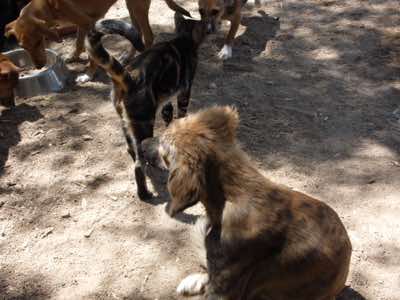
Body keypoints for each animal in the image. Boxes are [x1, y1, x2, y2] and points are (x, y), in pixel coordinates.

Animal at [3, 0, 191, 69]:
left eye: (38, 43)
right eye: (23, 47)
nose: (39, 67)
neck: (49, 5)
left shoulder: (87, 23)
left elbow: (90, 53)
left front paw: (89, 73)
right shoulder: (82, 24)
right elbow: (78, 43)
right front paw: (74, 57)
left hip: (137, 7)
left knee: (149, 36)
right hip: (131, 6)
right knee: (135, 32)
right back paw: (127, 57)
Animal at [86, 15, 206, 199]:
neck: (182, 39)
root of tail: (130, 78)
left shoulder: (165, 98)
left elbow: (168, 114)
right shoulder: (185, 90)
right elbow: (181, 114)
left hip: (126, 121)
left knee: (131, 147)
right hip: (144, 125)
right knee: (139, 165)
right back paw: (145, 191)